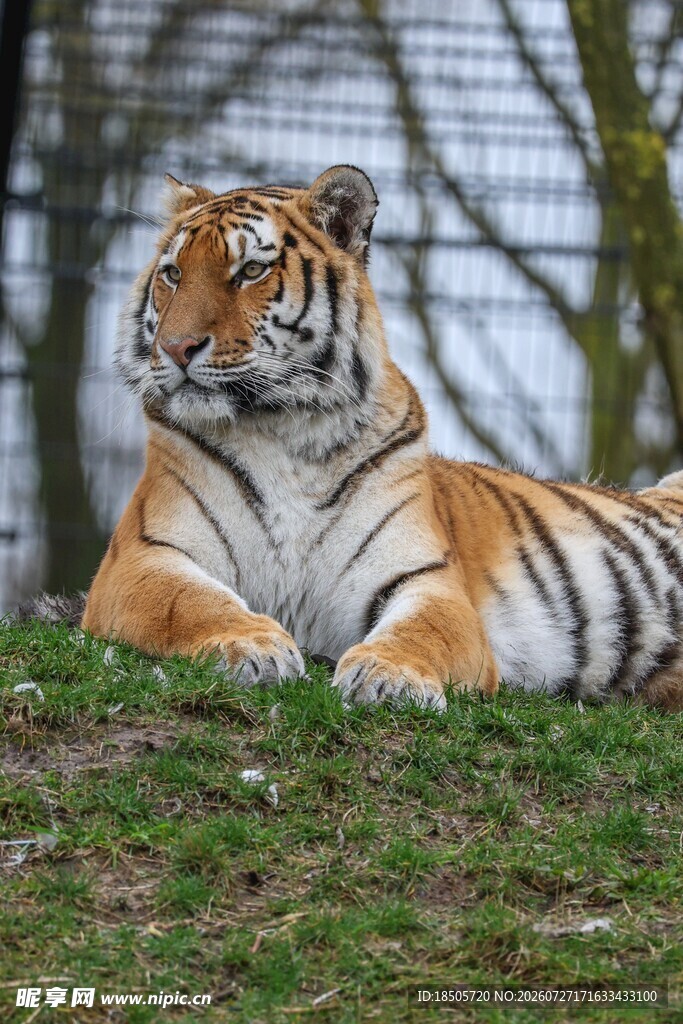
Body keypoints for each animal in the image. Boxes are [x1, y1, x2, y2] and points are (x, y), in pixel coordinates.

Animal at [61, 164, 683, 712]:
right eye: (172, 274)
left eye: (250, 272)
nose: (175, 348)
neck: (282, 428)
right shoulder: (142, 558)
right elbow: (190, 602)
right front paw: (250, 646)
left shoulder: (428, 581)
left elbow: (423, 632)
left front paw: (391, 678)